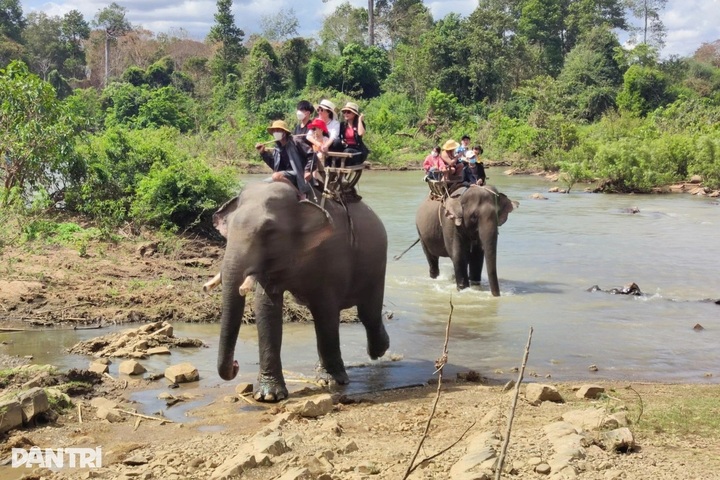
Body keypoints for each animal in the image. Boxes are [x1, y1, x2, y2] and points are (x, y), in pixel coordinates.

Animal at [213, 181, 390, 402]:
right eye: (228, 229)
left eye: (269, 231)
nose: (236, 365)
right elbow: (266, 309)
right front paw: (268, 396)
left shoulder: (332, 255)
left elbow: (325, 311)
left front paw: (332, 382)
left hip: (377, 262)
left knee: (368, 313)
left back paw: (379, 350)